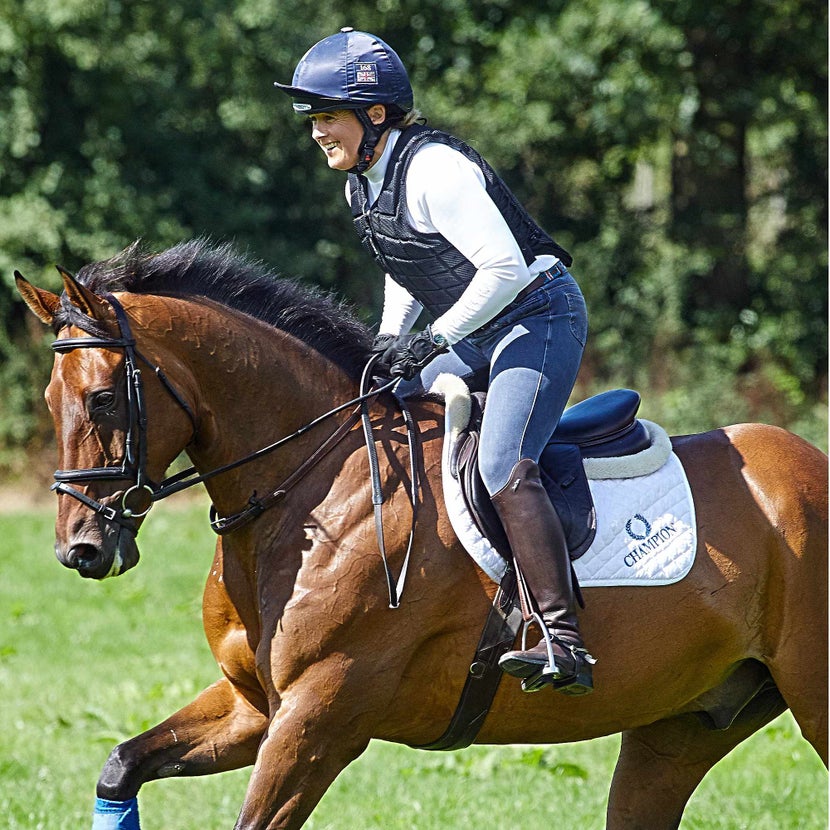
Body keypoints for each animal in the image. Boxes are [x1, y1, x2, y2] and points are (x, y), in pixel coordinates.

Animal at [16, 239, 827, 829]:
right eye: (52, 398)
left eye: (105, 398)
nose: (81, 549)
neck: (318, 481)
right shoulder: (255, 707)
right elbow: (122, 764)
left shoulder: (319, 720)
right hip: (681, 726)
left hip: (809, 699)